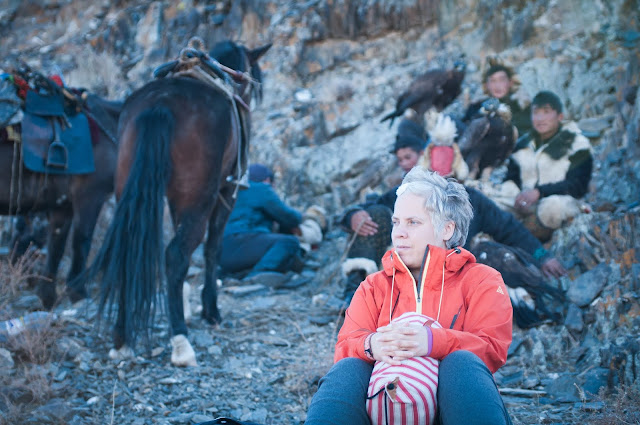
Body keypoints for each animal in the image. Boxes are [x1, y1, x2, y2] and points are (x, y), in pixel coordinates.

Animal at [0, 92, 122, 308]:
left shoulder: (62, 206)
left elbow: (57, 246)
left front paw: (47, 296)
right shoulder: (90, 197)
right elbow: (81, 242)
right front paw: (78, 293)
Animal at [80, 39, 270, 364]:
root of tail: (161, 104)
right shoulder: (225, 194)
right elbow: (213, 250)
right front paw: (210, 310)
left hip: (132, 191)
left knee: (127, 250)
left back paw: (122, 337)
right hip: (200, 200)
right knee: (176, 255)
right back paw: (180, 339)